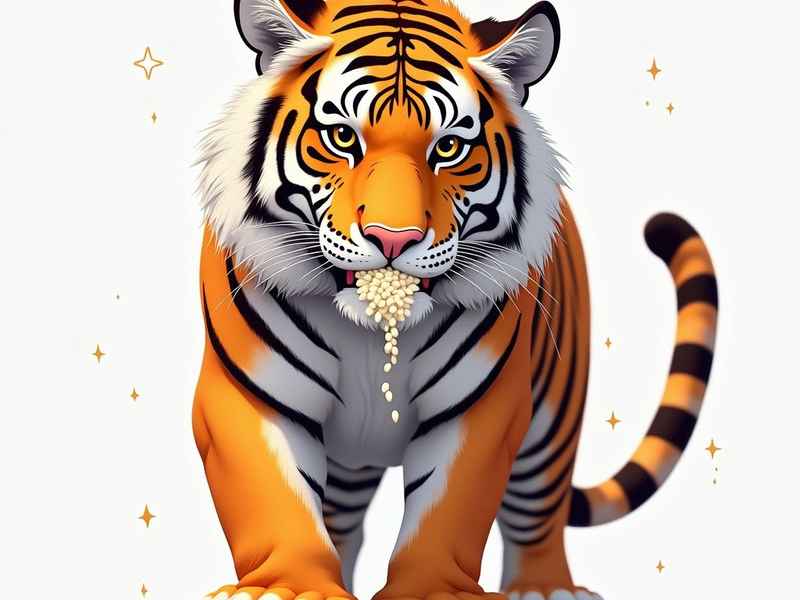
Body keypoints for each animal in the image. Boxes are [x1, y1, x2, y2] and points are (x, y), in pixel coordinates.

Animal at [193, 1, 719, 600]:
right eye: (342, 137)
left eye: (448, 147)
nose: (392, 239)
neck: (374, 334)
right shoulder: (252, 394)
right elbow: (275, 500)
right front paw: (288, 586)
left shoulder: (479, 410)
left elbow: (447, 509)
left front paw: (430, 590)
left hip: (553, 417)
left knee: (539, 506)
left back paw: (544, 587)